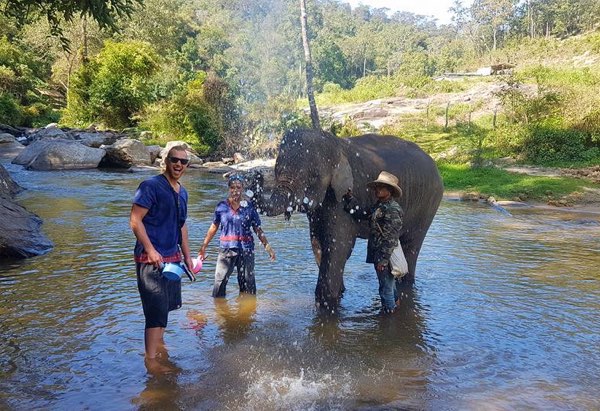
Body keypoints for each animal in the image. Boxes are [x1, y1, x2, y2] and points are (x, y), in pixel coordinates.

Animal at [246, 129, 442, 308]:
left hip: (428, 203)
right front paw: (339, 293)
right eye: (277, 171)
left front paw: (326, 304)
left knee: (411, 245)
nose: (256, 175)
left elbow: (338, 245)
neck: (336, 145)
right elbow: (318, 242)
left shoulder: (340, 197)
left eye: (313, 177)